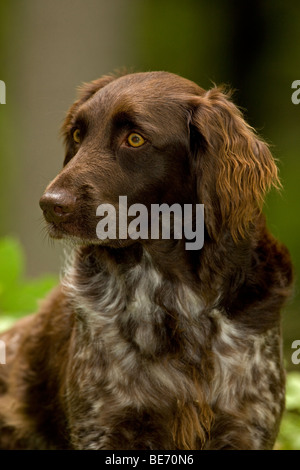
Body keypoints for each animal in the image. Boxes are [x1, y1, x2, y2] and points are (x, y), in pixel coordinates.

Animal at [0, 71, 292, 450]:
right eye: (78, 135)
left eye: (135, 139)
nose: (51, 204)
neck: (171, 294)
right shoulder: (101, 426)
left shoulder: (248, 426)